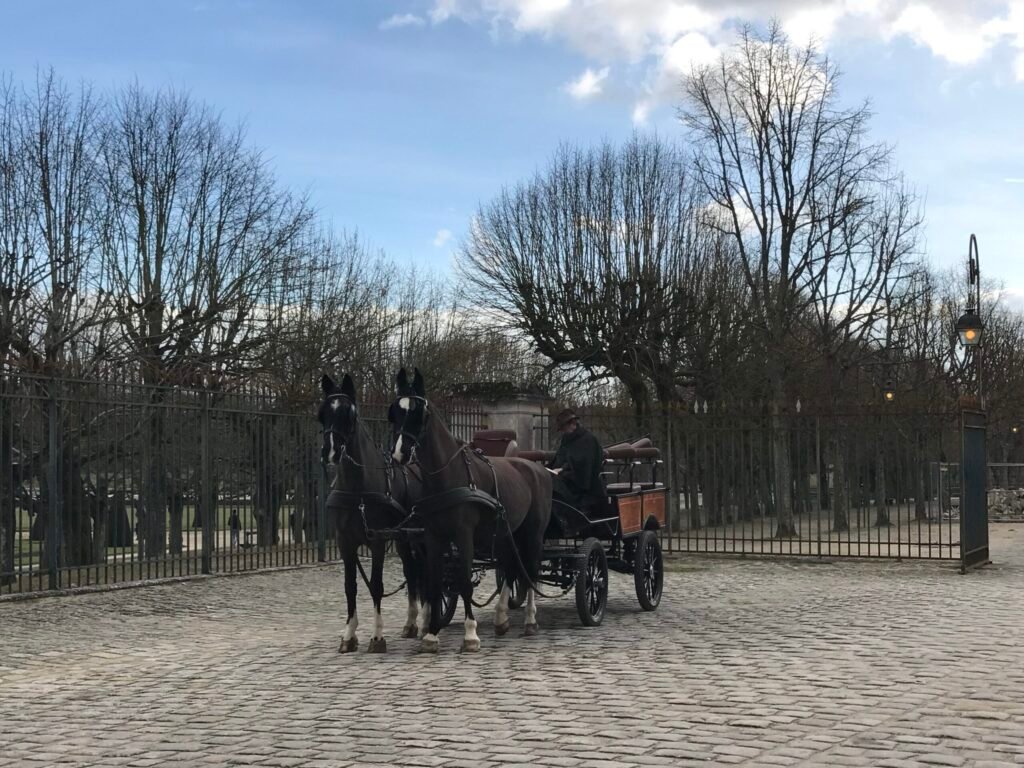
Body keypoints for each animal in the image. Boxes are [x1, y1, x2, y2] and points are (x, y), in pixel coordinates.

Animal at [319, 373, 427, 653]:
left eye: (348, 414)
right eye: (322, 414)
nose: (330, 453)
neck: (358, 492)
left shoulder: (377, 541)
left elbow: (376, 586)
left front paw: (377, 636)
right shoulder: (345, 542)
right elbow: (350, 587)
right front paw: (349, 635)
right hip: (403, 539)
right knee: (411, 572)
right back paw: (412, 622)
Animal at [387, 367, 552, 653]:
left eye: (419, 413)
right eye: (395, 412)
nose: (400, 453)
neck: (446, 477)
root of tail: (537, 468)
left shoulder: (463, 535)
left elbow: (464, 580)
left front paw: (470, 635)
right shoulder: (432, 537)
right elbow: (433, 582)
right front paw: (431, 634)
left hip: (532, 534)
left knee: (529, 571)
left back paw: (530, 620)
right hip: (507, 534)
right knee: (510, 568)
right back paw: (501, 619)